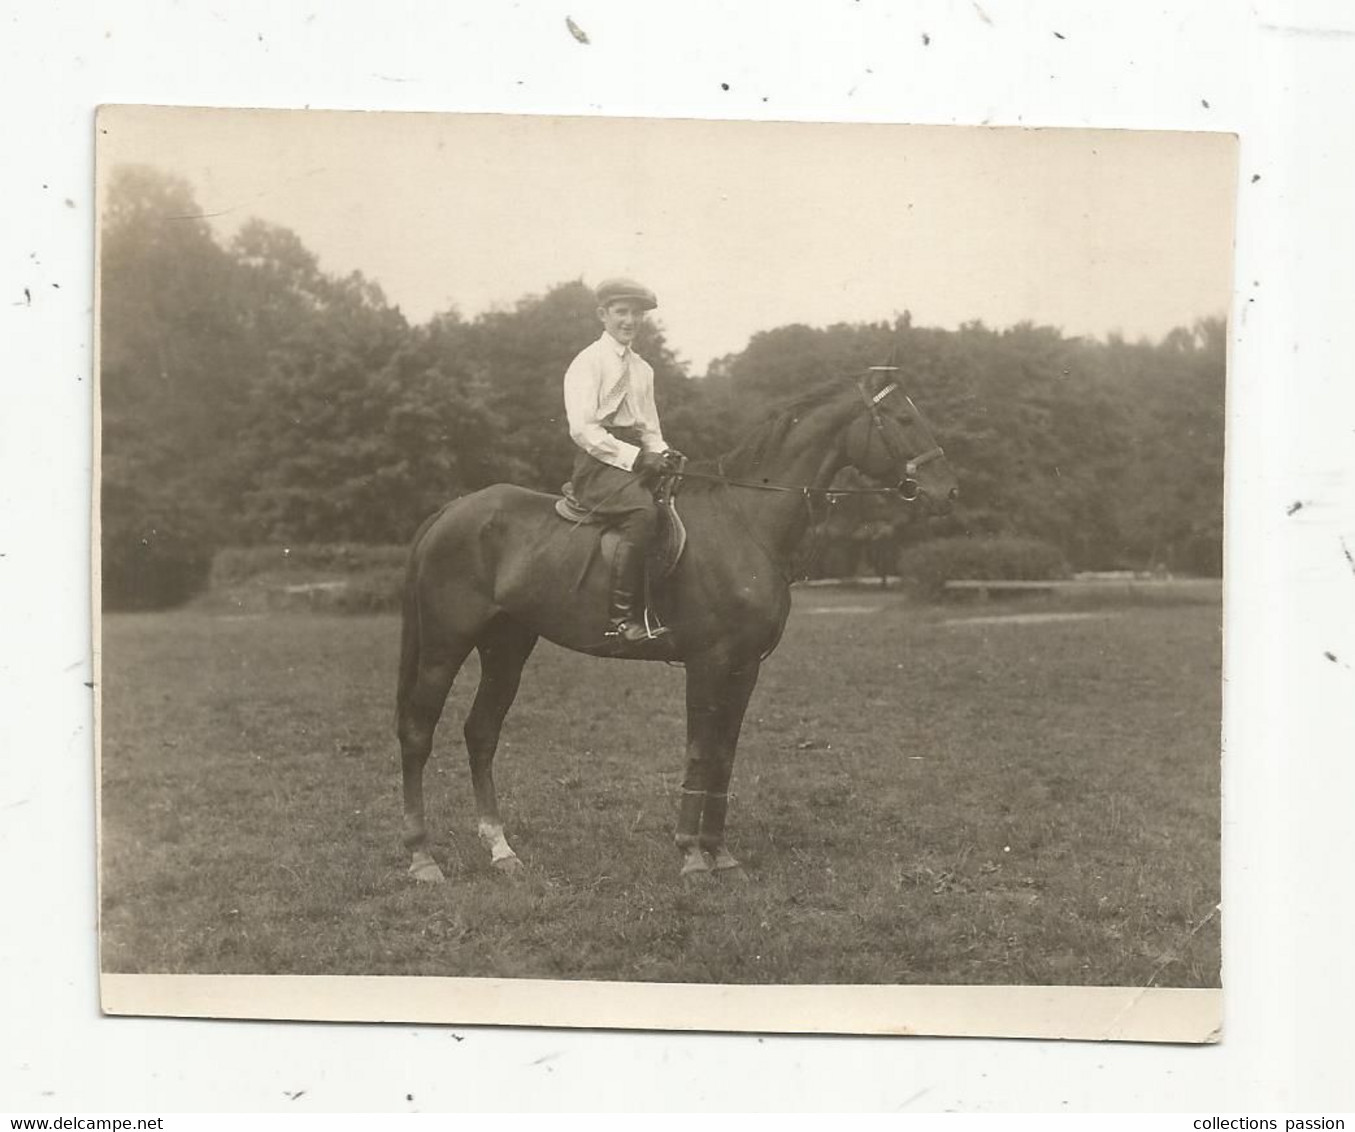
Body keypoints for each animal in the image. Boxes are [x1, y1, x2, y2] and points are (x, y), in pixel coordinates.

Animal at [395, 368, 959, 878]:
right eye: (904, 418)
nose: (948, 491)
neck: (746, 520)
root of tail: (449, 512)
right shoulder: (707, 662)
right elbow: (699, 752)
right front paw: (690, 854)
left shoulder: (745, 667)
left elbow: (725, 755)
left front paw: (720, 853)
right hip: (446, 645)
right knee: (419, 732)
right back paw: (422, 857)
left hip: (507, 646)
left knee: (481, 732)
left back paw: (501, 850)